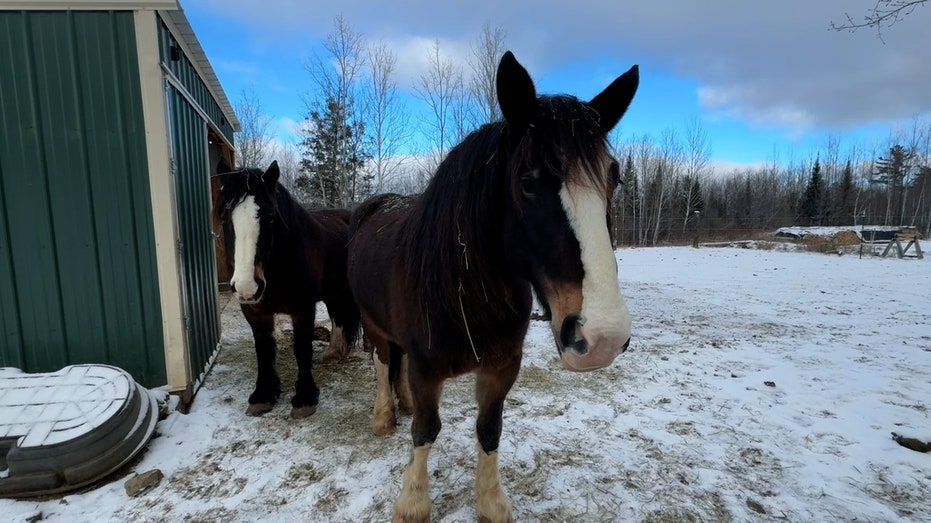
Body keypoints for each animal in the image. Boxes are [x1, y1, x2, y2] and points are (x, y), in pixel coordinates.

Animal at [215, 158, 360, 420]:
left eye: (270, 217)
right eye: (224, 217)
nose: (247, 287)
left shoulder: (303, 309)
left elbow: (301, 349)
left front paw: (305, 398)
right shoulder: (255, 312)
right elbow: (263, 350)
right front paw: (263, 395)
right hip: (334, 291)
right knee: (337, 316)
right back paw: (333, 353)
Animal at [346, 50, 636, 523]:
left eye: (615, 180)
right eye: (527, 183)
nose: (603, 337)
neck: (464, 292)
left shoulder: (502, 366)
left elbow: (489, 428)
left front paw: (491, 502)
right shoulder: (427, 368)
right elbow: (426, 429)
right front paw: (412, 501)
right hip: (375, 325)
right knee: (382, 362)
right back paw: (384, 415)